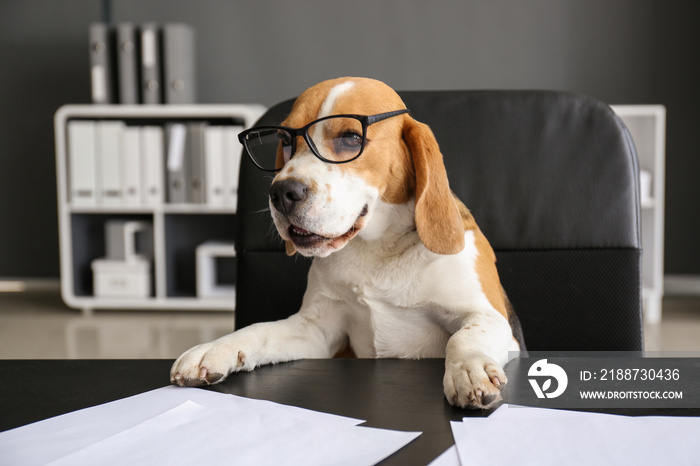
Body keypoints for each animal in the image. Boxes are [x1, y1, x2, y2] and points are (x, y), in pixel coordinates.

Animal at [172, 78, 524, 410]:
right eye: (286, 141)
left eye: (351, 138)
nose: (282, 193)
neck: (376, 252)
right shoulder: (318, 329)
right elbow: (258, 329)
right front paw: (214, 349)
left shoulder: (489, 318)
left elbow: (463, 338)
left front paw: (469, 370)